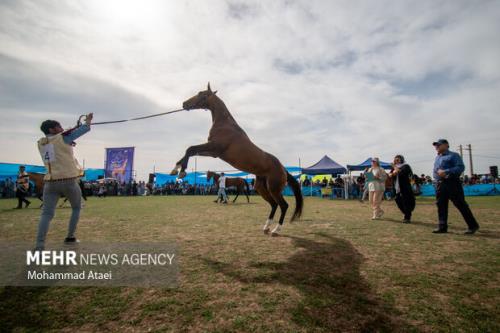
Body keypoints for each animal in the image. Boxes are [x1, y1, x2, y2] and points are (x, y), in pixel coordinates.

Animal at [172, 83, 302, 235]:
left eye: (200, 93)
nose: (184, 104)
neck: (224, 125)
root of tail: (283, 169)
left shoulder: (214, 147)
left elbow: (190, 149)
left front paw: (182, 171)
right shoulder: (213, 152)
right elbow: (190, 151)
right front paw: (176, 169)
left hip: (274, 189)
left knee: (284, 205)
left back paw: (276, 229)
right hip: (261, 188)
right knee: (274, 205)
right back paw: (266, 227)